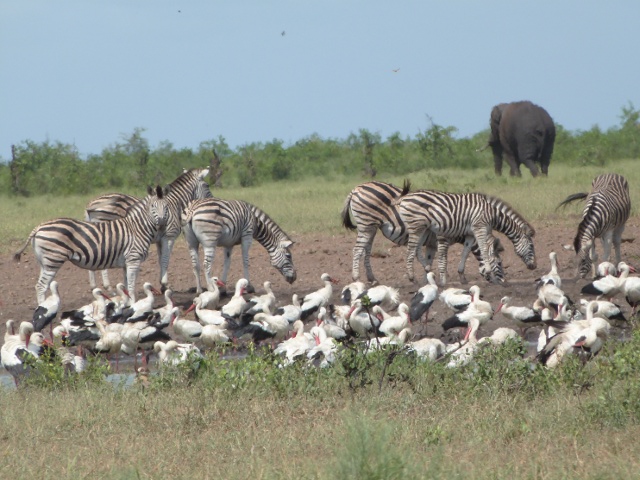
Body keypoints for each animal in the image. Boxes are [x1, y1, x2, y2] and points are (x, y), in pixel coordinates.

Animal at [15, 185, 170, 304]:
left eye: (167, 207)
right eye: (152, 206)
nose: (162, 223)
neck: (137, 228)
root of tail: (38, 227)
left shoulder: (126, 263)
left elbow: (126, 285)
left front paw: (127, 305)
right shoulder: (133, 260)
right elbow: (131, 286)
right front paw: (133, 303)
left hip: (44, 262)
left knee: (39, 286)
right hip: (53, 260)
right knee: (41, 286)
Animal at [82, 167, 211, 290]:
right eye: (207, 185)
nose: (212, 199)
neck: (174, 203)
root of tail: (91, 204)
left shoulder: (160, 239)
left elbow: (160, 259)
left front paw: (162, 284)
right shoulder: (169, 236)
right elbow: (166, 259)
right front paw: (165, 284)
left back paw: (95, 287)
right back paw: (108, 288)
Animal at [342, 180, 502, 284]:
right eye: (500, 263)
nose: (502, 283)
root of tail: (356, 189)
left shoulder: (431, 244)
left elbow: (428, 259)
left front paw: (428, 279)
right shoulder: (441, 238)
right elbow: (440, 259)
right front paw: (439, 279)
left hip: (371, 227)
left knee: (366, 250)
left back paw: (372, 279)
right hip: (367, 224)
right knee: (357, 250)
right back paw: (356, 278)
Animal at [398, 188, 536, 284]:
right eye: (531, 246)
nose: (534, 266)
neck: (493, 214)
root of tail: (404, 198)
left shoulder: (470, 234)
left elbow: (466, 252)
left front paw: (461, 275)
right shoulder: (480, 228)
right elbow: (484, 249)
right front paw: (488, 269)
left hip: (422, 229)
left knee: (417, 250)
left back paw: (426, 269)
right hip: (416, 227)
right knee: (410, 250)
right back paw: (412, 277)